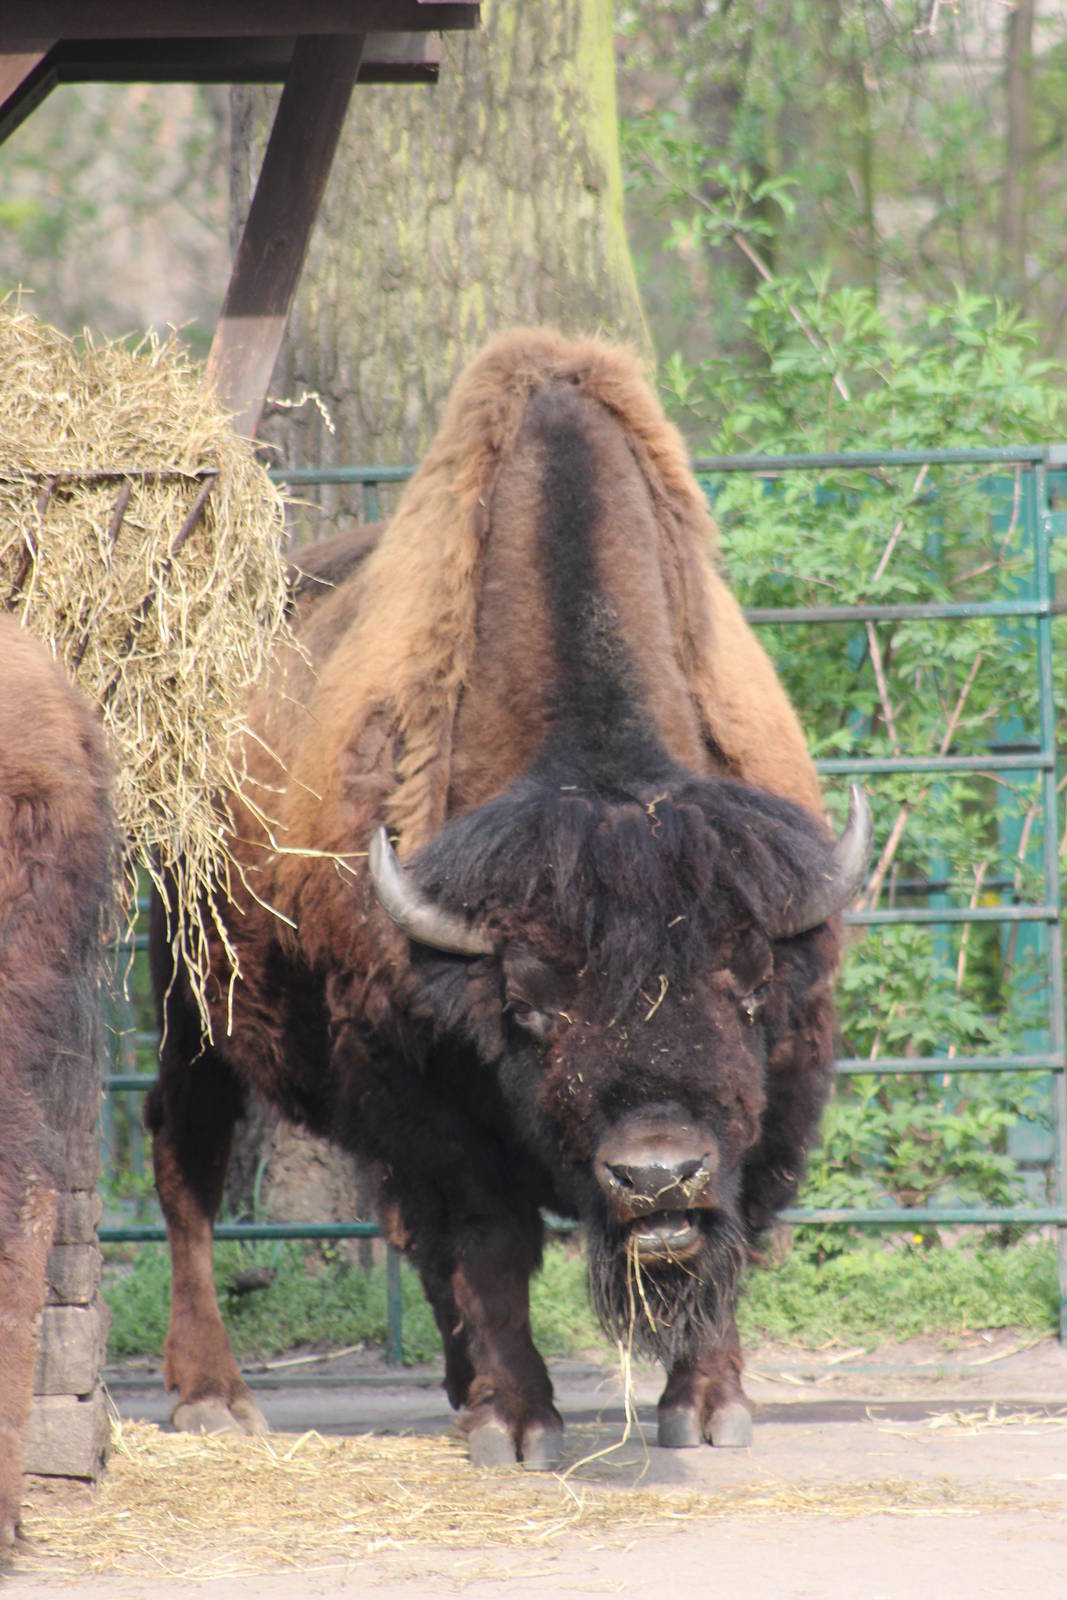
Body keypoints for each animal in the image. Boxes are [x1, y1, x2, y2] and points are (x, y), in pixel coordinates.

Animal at [147, 329, 870, 1465]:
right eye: (528, 1009)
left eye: (748, 989)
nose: (656, 1176)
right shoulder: (423, 1085)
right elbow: (490, 1237)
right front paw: (518, 1423)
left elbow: (736, 1224)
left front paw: (707, 1405)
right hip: (189, 992)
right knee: (189, 1160)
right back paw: (214, 1395)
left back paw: (452, 1379)